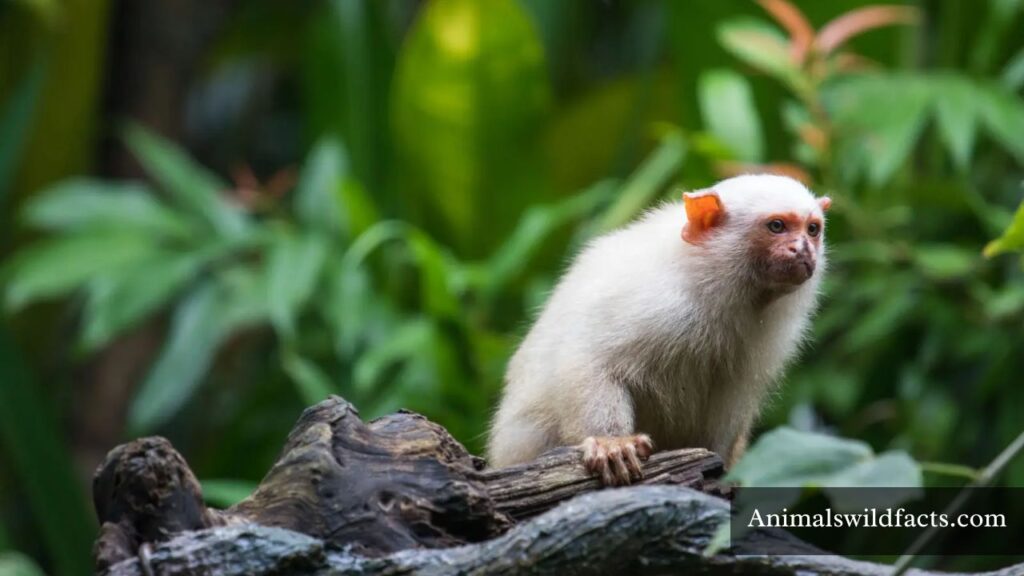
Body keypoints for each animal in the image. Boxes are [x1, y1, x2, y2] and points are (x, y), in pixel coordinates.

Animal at [486, 174, 831, 486]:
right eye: (777, 226)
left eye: (813, 229)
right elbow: (587, 358)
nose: (803, 250)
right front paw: (611, 443)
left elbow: (730, 401)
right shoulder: (651, 297)